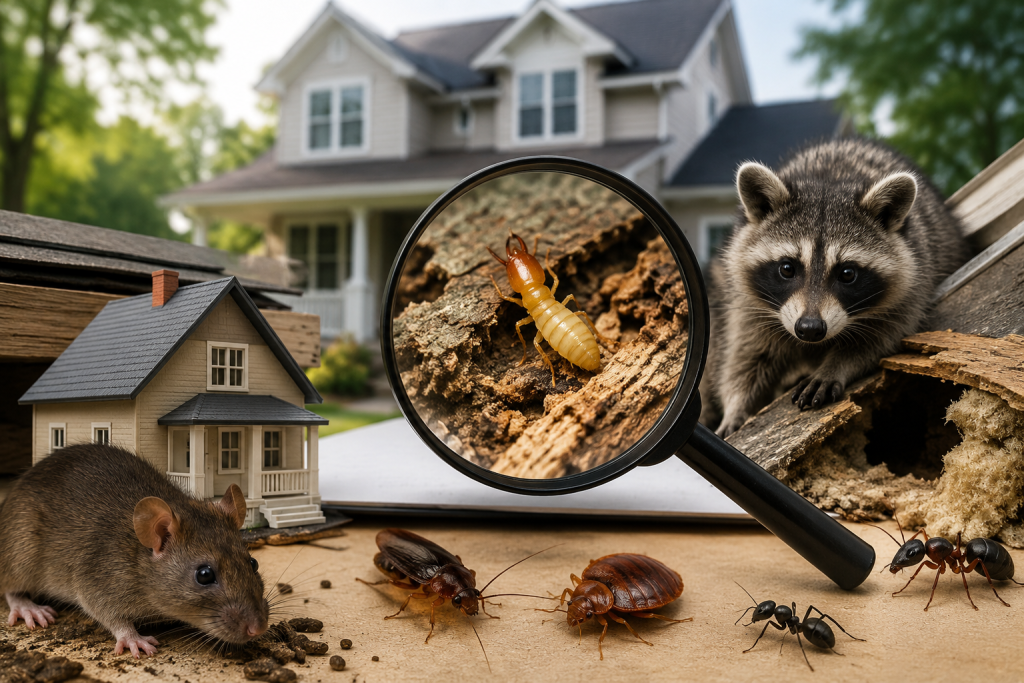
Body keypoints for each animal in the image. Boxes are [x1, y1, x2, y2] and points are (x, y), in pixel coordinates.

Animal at [705, 138, 970, 437]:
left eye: (847, 274)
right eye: (787, 269)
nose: (810, 329)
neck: (829, 181)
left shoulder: (914, 283)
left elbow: (880, 338)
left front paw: (836, 364)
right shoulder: (748, 302)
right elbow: (745, 356)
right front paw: (736, 405)